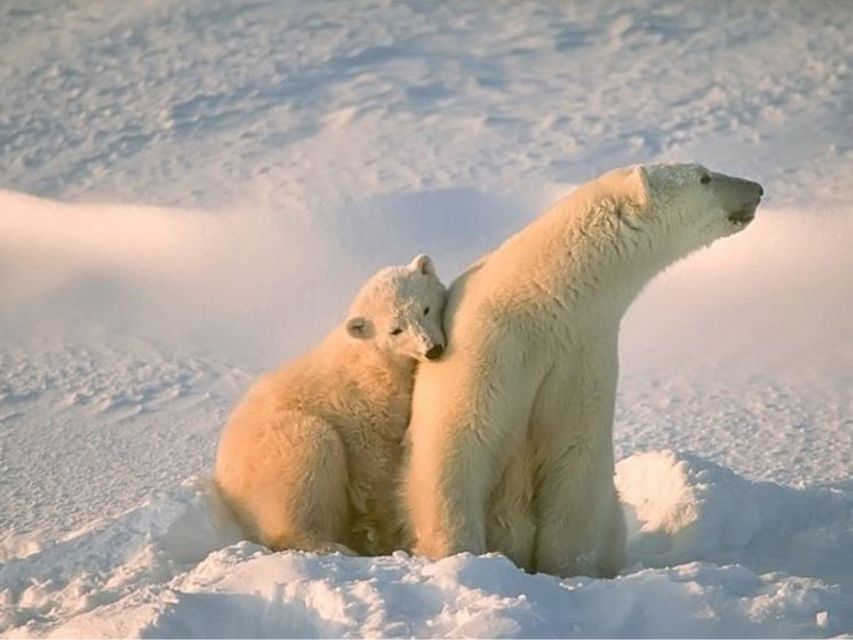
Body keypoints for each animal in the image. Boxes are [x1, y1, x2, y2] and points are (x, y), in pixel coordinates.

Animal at [402, 162, 764, 576]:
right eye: (703, 176)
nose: (757, 189)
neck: (543, 298)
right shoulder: (488, 347)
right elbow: (460, 442)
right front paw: (462, 557)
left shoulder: (582, 351)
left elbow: (576, 456)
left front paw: (569, 571)